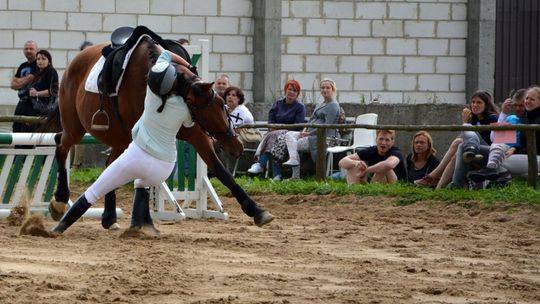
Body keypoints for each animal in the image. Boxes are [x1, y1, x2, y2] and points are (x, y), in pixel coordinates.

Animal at [46, 35, 274, 227]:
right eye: (206, 111)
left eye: (222, 104)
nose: (236, 146)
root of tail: (76, 60)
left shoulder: (196, 135)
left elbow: (222, 171)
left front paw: (257, 211)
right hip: (76, 128)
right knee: (61, 145)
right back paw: (60, 200)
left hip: (119, 139)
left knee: (109, 164)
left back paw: (109, 218)